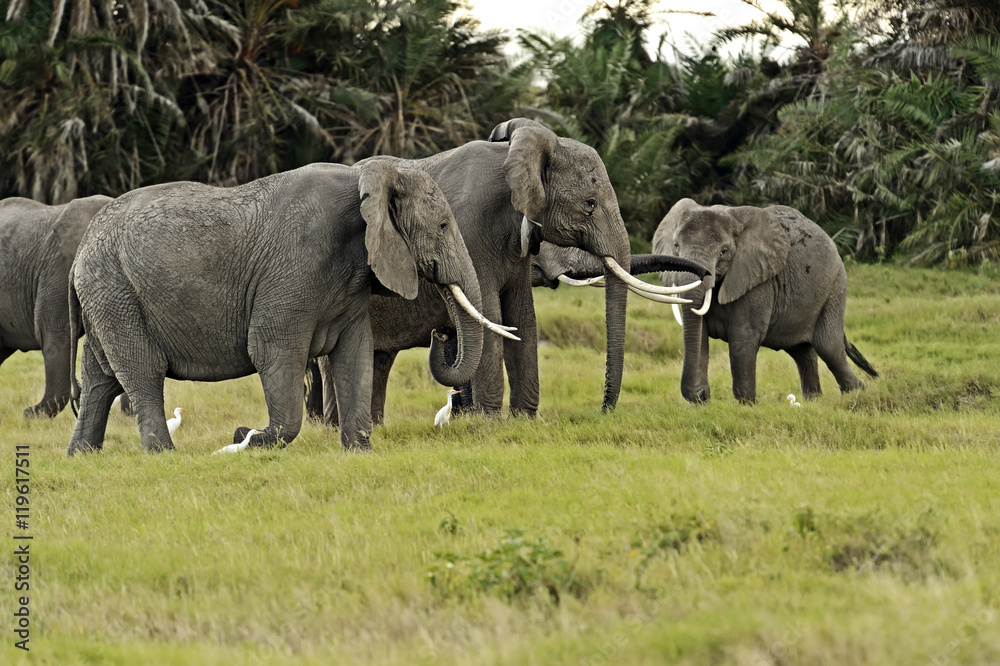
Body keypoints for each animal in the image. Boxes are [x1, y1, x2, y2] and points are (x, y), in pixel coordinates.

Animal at [67, 160, 502, 455]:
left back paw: (82, 456)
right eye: (443, 226)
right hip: (115, 293)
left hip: (106, 296)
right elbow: (274, 349)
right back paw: (165, 456)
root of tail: (80, 252)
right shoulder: (296, 265)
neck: (367, 177)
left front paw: (360, 452)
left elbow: (355, 354)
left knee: (100, 377)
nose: (440, 333)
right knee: (142, 372)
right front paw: (249, 439)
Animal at [310, 118, 699, 426]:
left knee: (379, 360)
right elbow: (491, 314)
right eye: (589, 205)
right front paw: (490, 421)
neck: (516, 156)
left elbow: (523, 315)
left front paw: (523, 419)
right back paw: (333, 428)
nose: (604, 410)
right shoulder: (468, 231)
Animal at [653, 198, 878, 404]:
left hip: (835, 287)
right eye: (675, 246)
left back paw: (858, 394)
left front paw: (745, 405)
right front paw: (702, 402)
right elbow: (699, 334)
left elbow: (743, 335)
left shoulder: (759, 279)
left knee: (829, 348)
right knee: (803, 352)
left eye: (723, 252)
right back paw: (814, 401)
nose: (701, 394)